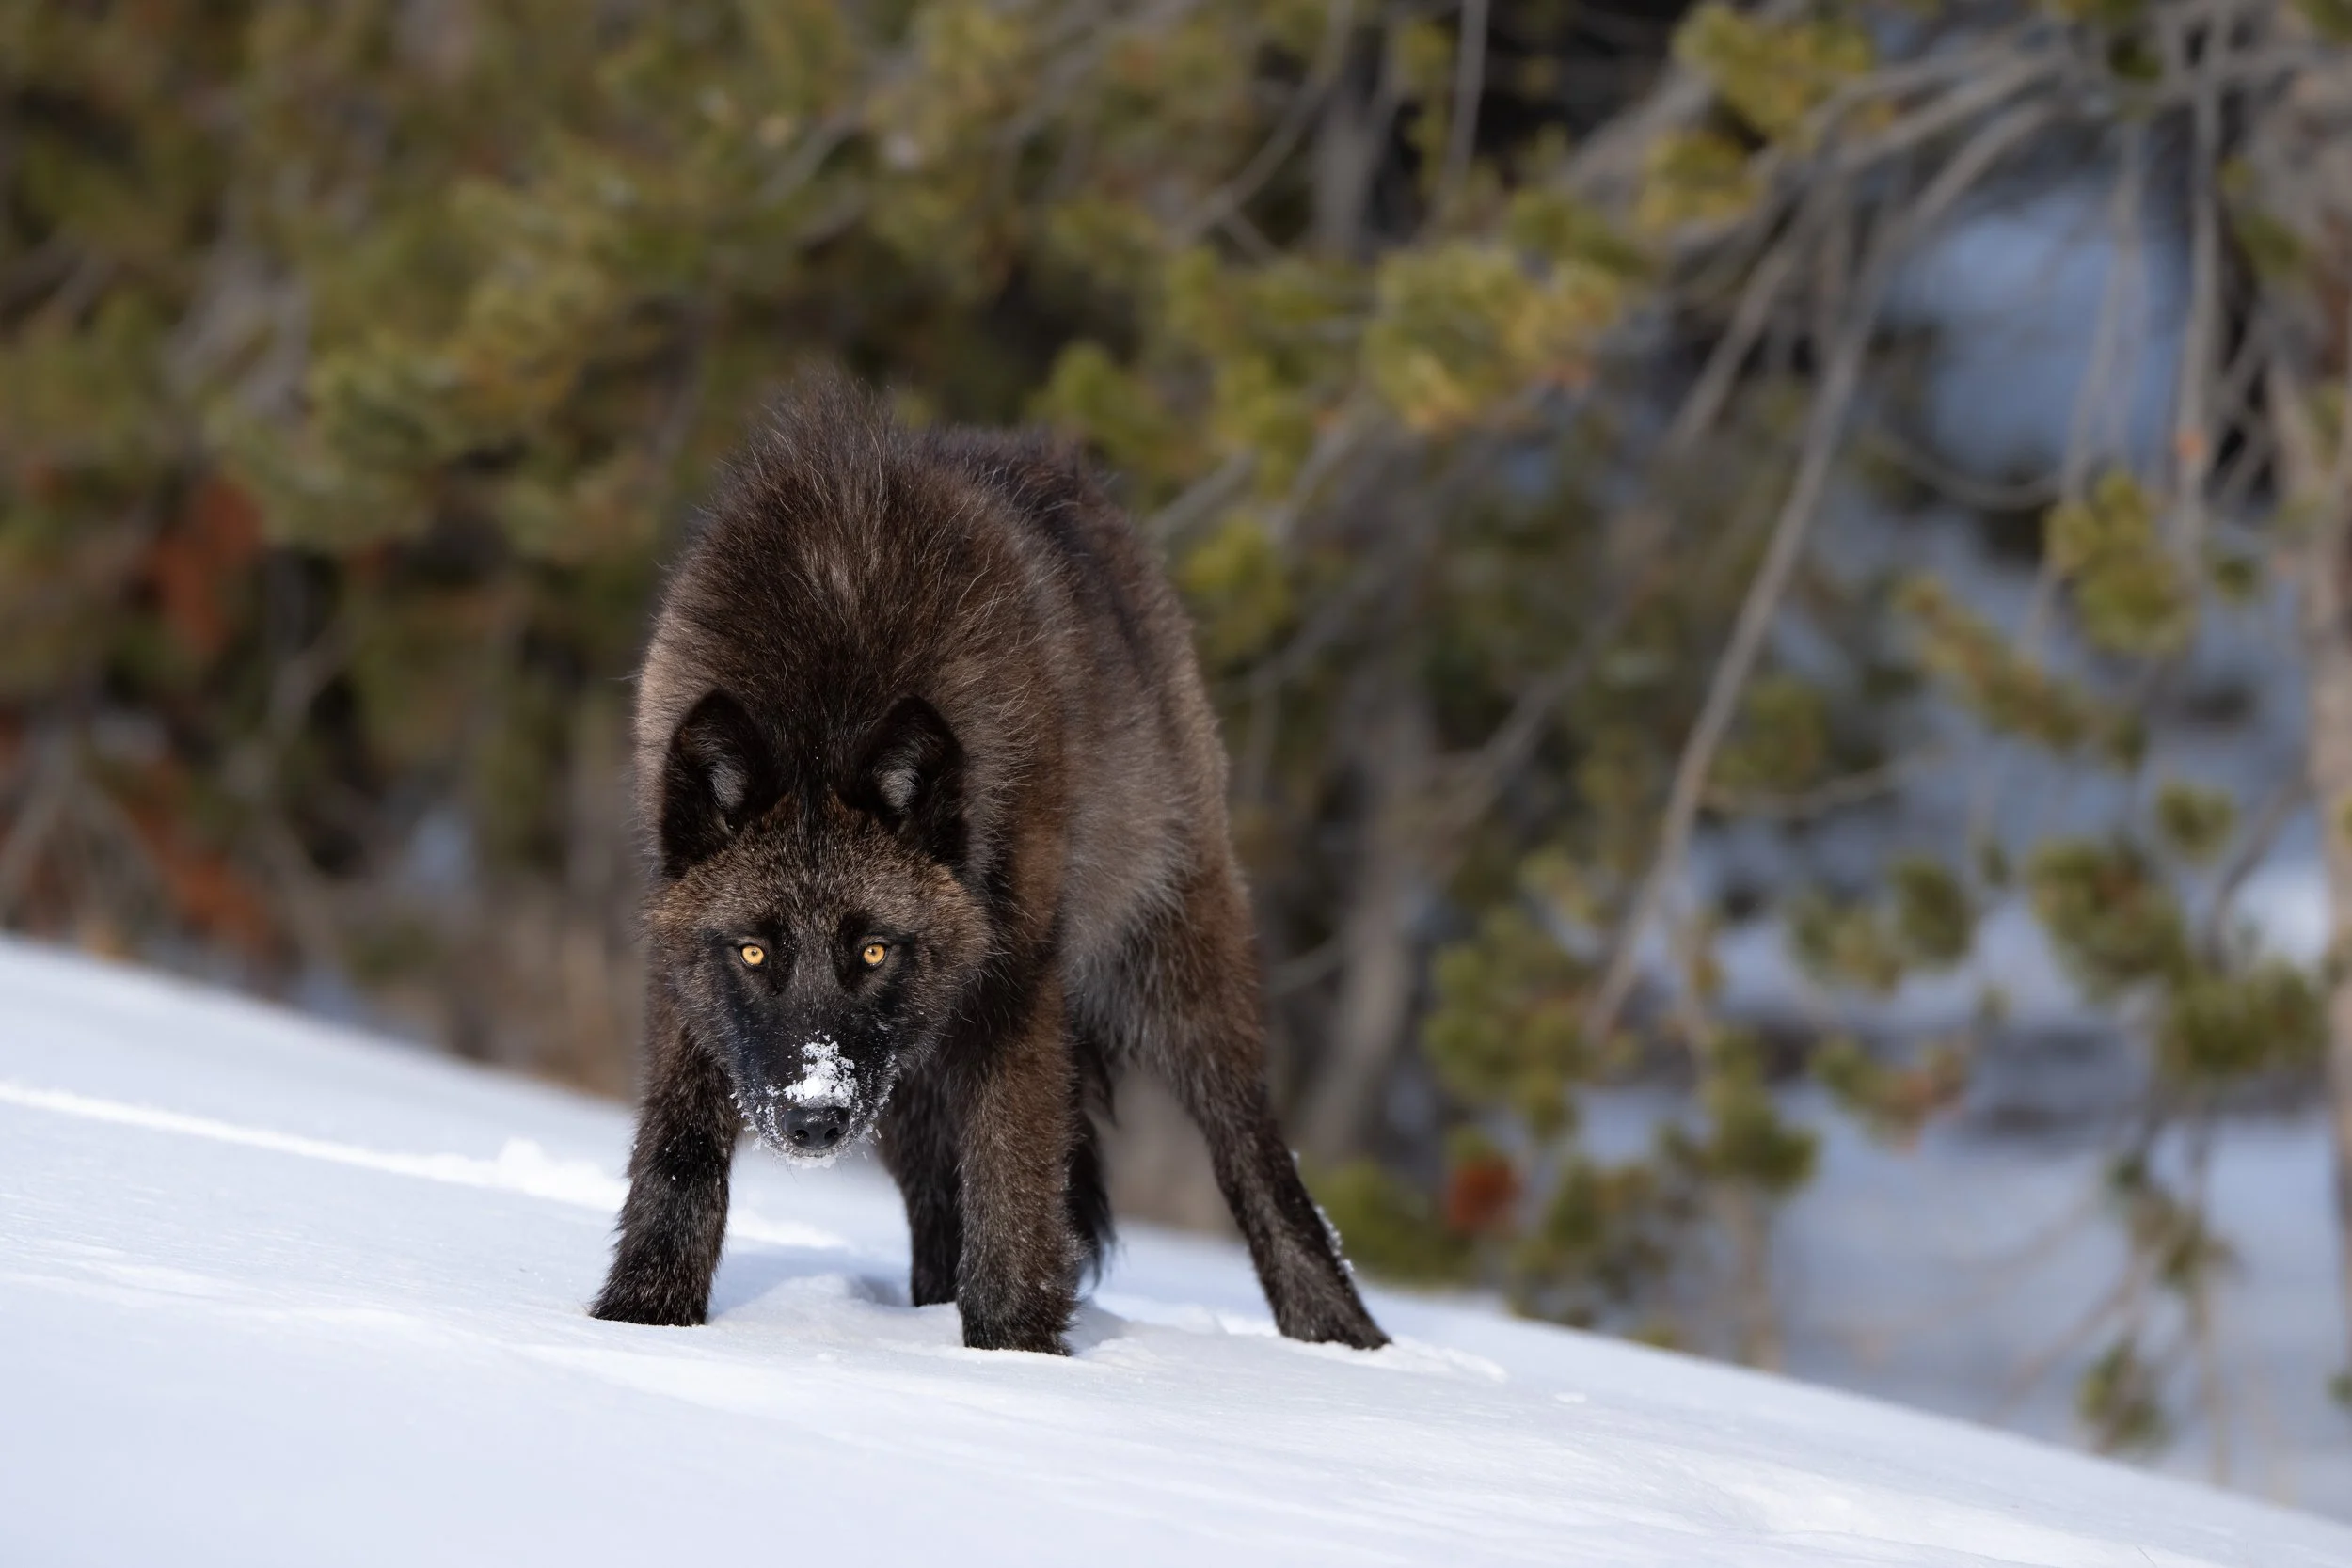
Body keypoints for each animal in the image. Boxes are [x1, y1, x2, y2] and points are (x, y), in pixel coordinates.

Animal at [590, 379, 1387, 1355]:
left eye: (872, 950)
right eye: (752, 952)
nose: (814, 1117)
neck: (827, 694)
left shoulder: (1018, 982)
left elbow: (1014, 1179)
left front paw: (1013, 1353)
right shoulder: (686, 985)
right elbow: (678, 1156)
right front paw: (642, 1322)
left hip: (1171, 978)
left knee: (1257, 1158)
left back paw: (1346, 1342)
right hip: (913, 1071)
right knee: (939, 1201)